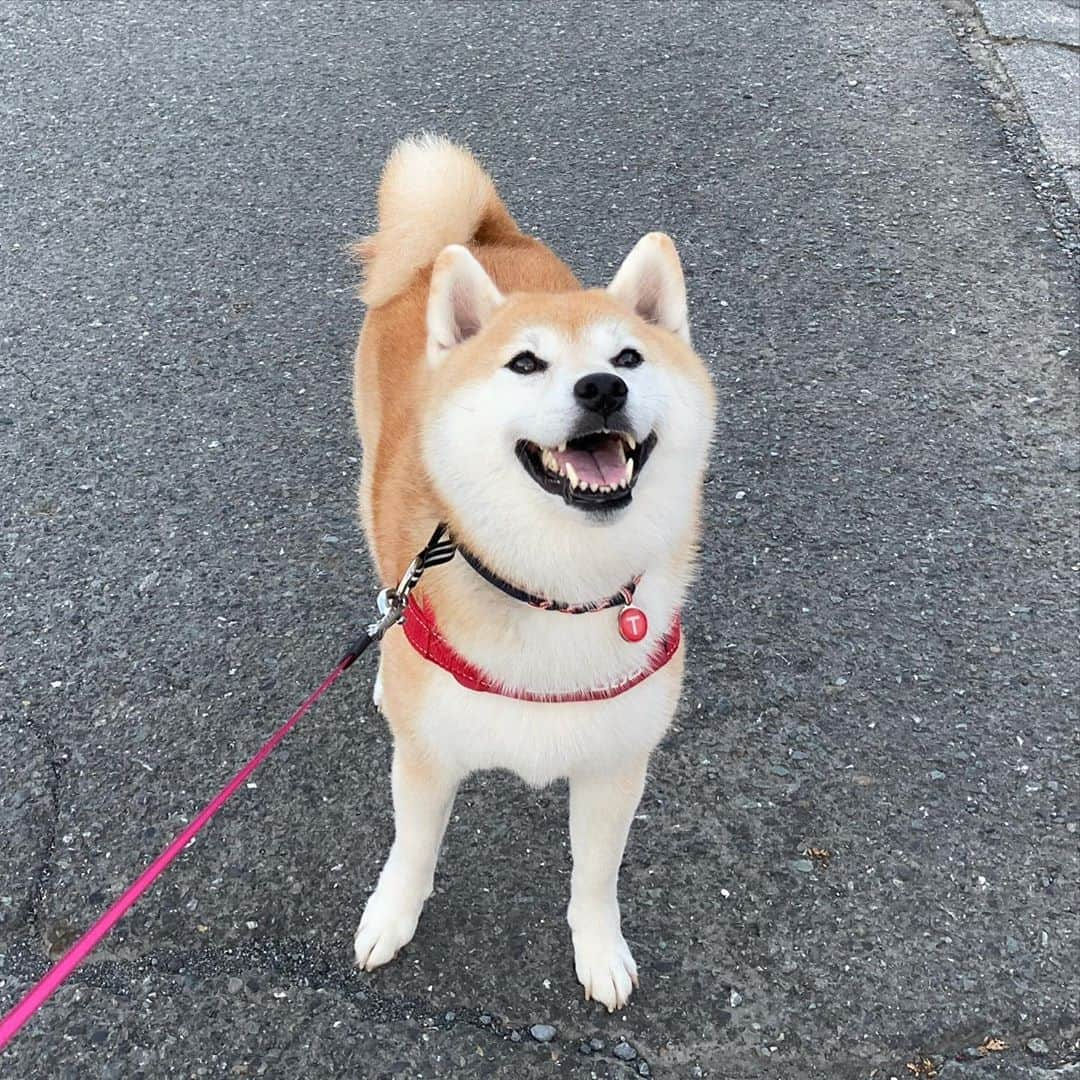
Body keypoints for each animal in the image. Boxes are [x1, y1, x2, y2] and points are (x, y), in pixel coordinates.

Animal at [349, 137, 712, 1010]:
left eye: (628, 356)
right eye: (523, 363)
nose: (603, 387)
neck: (558, 588)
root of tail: (478, 234)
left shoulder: (616, 764)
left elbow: (596, 877)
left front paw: (599, 951)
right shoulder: (427, 761)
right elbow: (412, 851)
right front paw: (391, 918)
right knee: (385, 587)